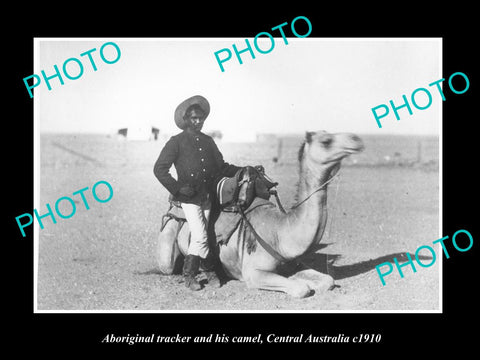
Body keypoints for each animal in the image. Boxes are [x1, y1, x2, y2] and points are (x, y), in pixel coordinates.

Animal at [156, 129, 362, 298]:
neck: (281, 233)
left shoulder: (293, 263)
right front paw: (300, 283)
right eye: (326, 141)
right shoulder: (253, 273)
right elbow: (300, 289)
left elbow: (328, 280)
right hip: (170, 238)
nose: (356, 139)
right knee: (168, 264)